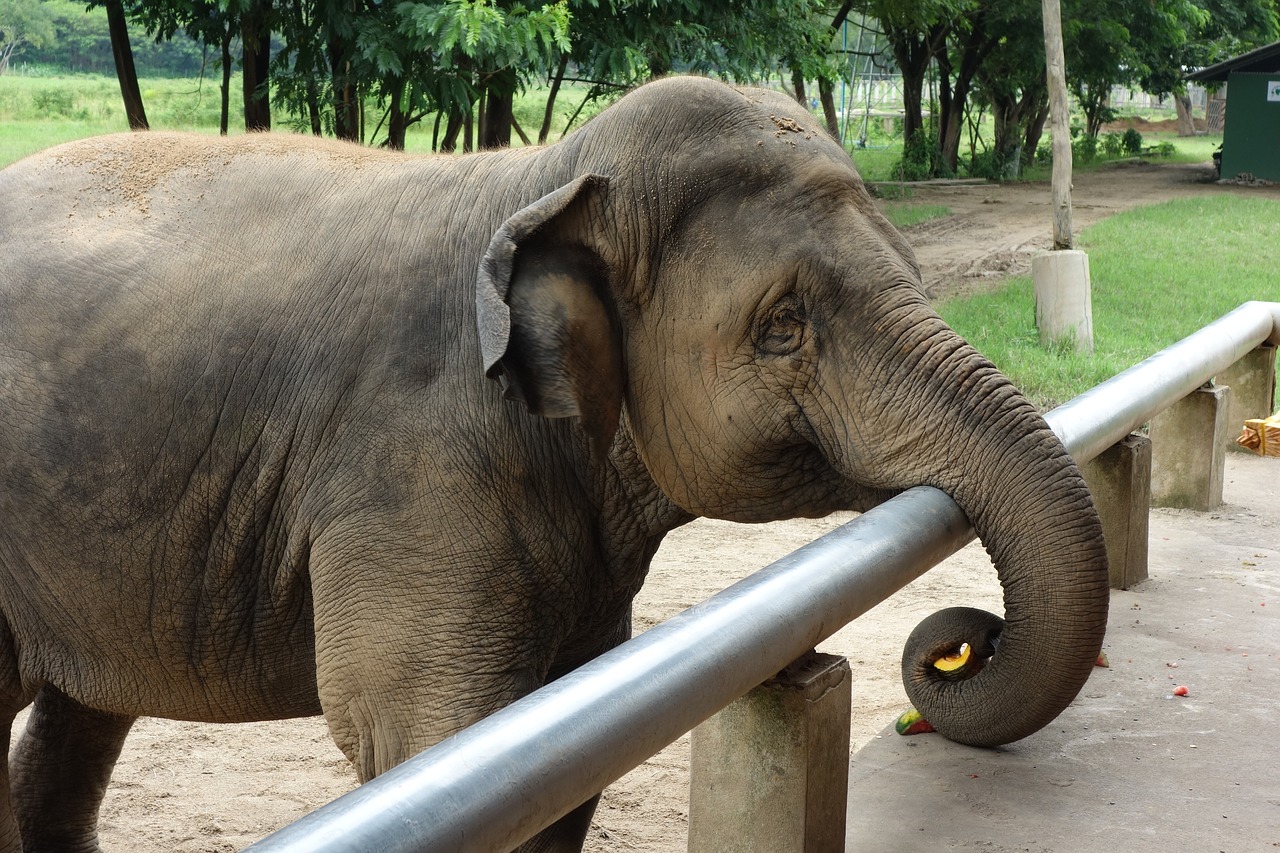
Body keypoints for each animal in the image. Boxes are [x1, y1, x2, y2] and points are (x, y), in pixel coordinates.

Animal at [0, 76, 1105, 845]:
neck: (544, 176)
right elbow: (423, 737)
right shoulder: (412, 468)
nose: (961, 641)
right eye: (782, 328)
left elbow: (562, 747)